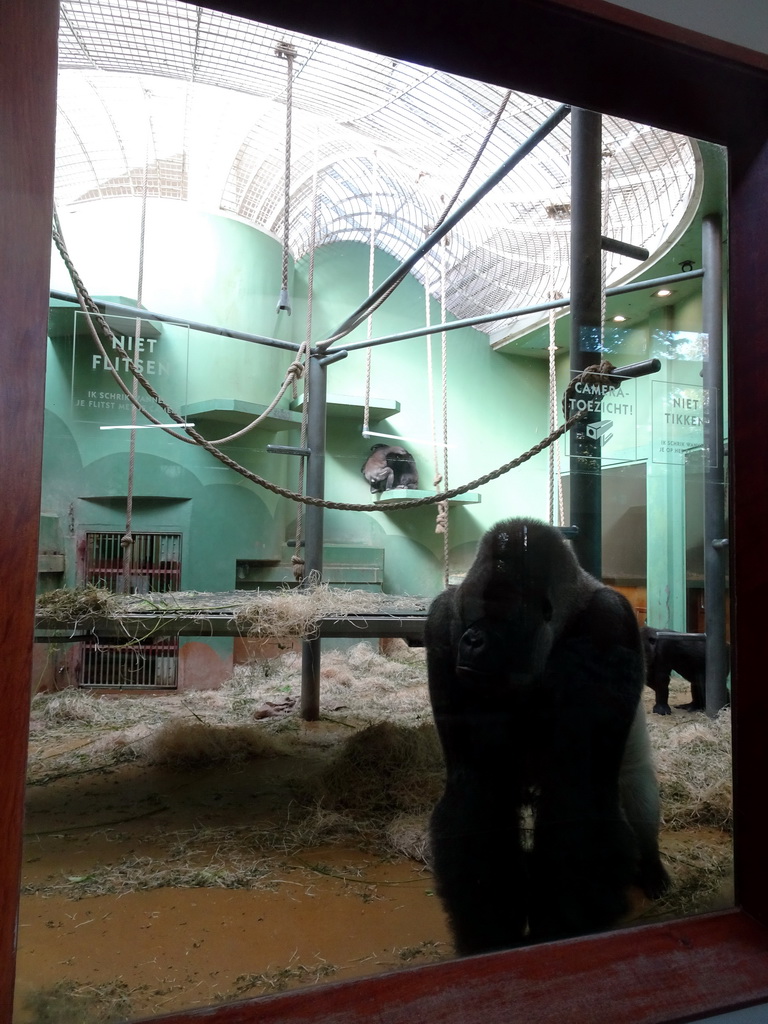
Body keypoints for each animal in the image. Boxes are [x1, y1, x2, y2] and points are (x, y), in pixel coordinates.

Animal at [423, 516, 671, 954]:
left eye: (501, 615)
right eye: (474, 613)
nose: (473, 640)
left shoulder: (609, 622)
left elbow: (580, 795)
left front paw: (559, 928)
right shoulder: (442, 624)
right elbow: (475, 786)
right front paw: (488, 934)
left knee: (636, 787)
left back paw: (651, 864)